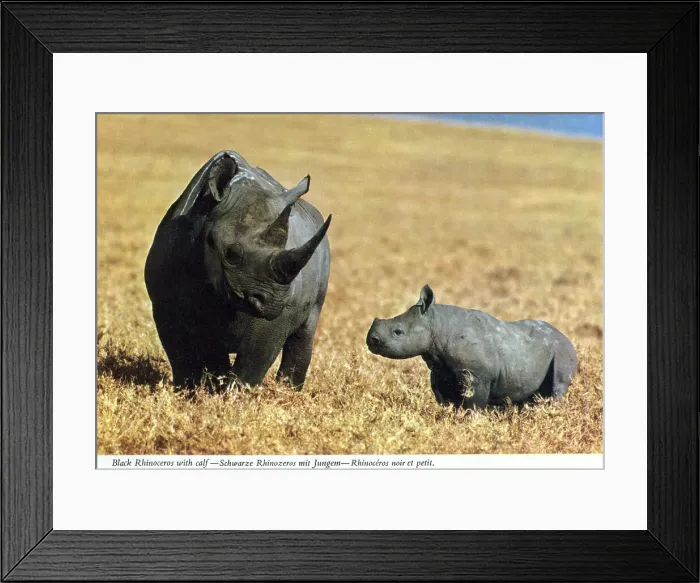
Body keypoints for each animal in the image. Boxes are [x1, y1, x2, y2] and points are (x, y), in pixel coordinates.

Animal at [145, 150, 331, 390]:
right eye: (231, 254)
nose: (273, 303)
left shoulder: (278, 316)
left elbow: (254, 359)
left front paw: (236, 394)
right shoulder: (164, 300)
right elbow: (181, 352)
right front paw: (188, 390)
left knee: (305, 330)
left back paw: (288, 391)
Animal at [366, 285, 577, 408]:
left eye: (398, 332)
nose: (370, 341)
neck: (437, 324)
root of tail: (566, 337)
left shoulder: (478, 373)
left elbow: (474, 401)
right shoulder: (441, 368)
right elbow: (443, 396)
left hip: (562, 350)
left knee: (558, 384)